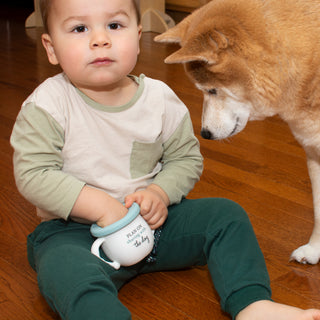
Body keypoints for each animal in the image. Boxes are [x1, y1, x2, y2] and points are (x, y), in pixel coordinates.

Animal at [156, 0, 320, 264]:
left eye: (211, 90)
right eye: (202, 90)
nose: (205, 133)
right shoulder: (314, 153)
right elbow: (318, 211)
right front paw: (315, 249)